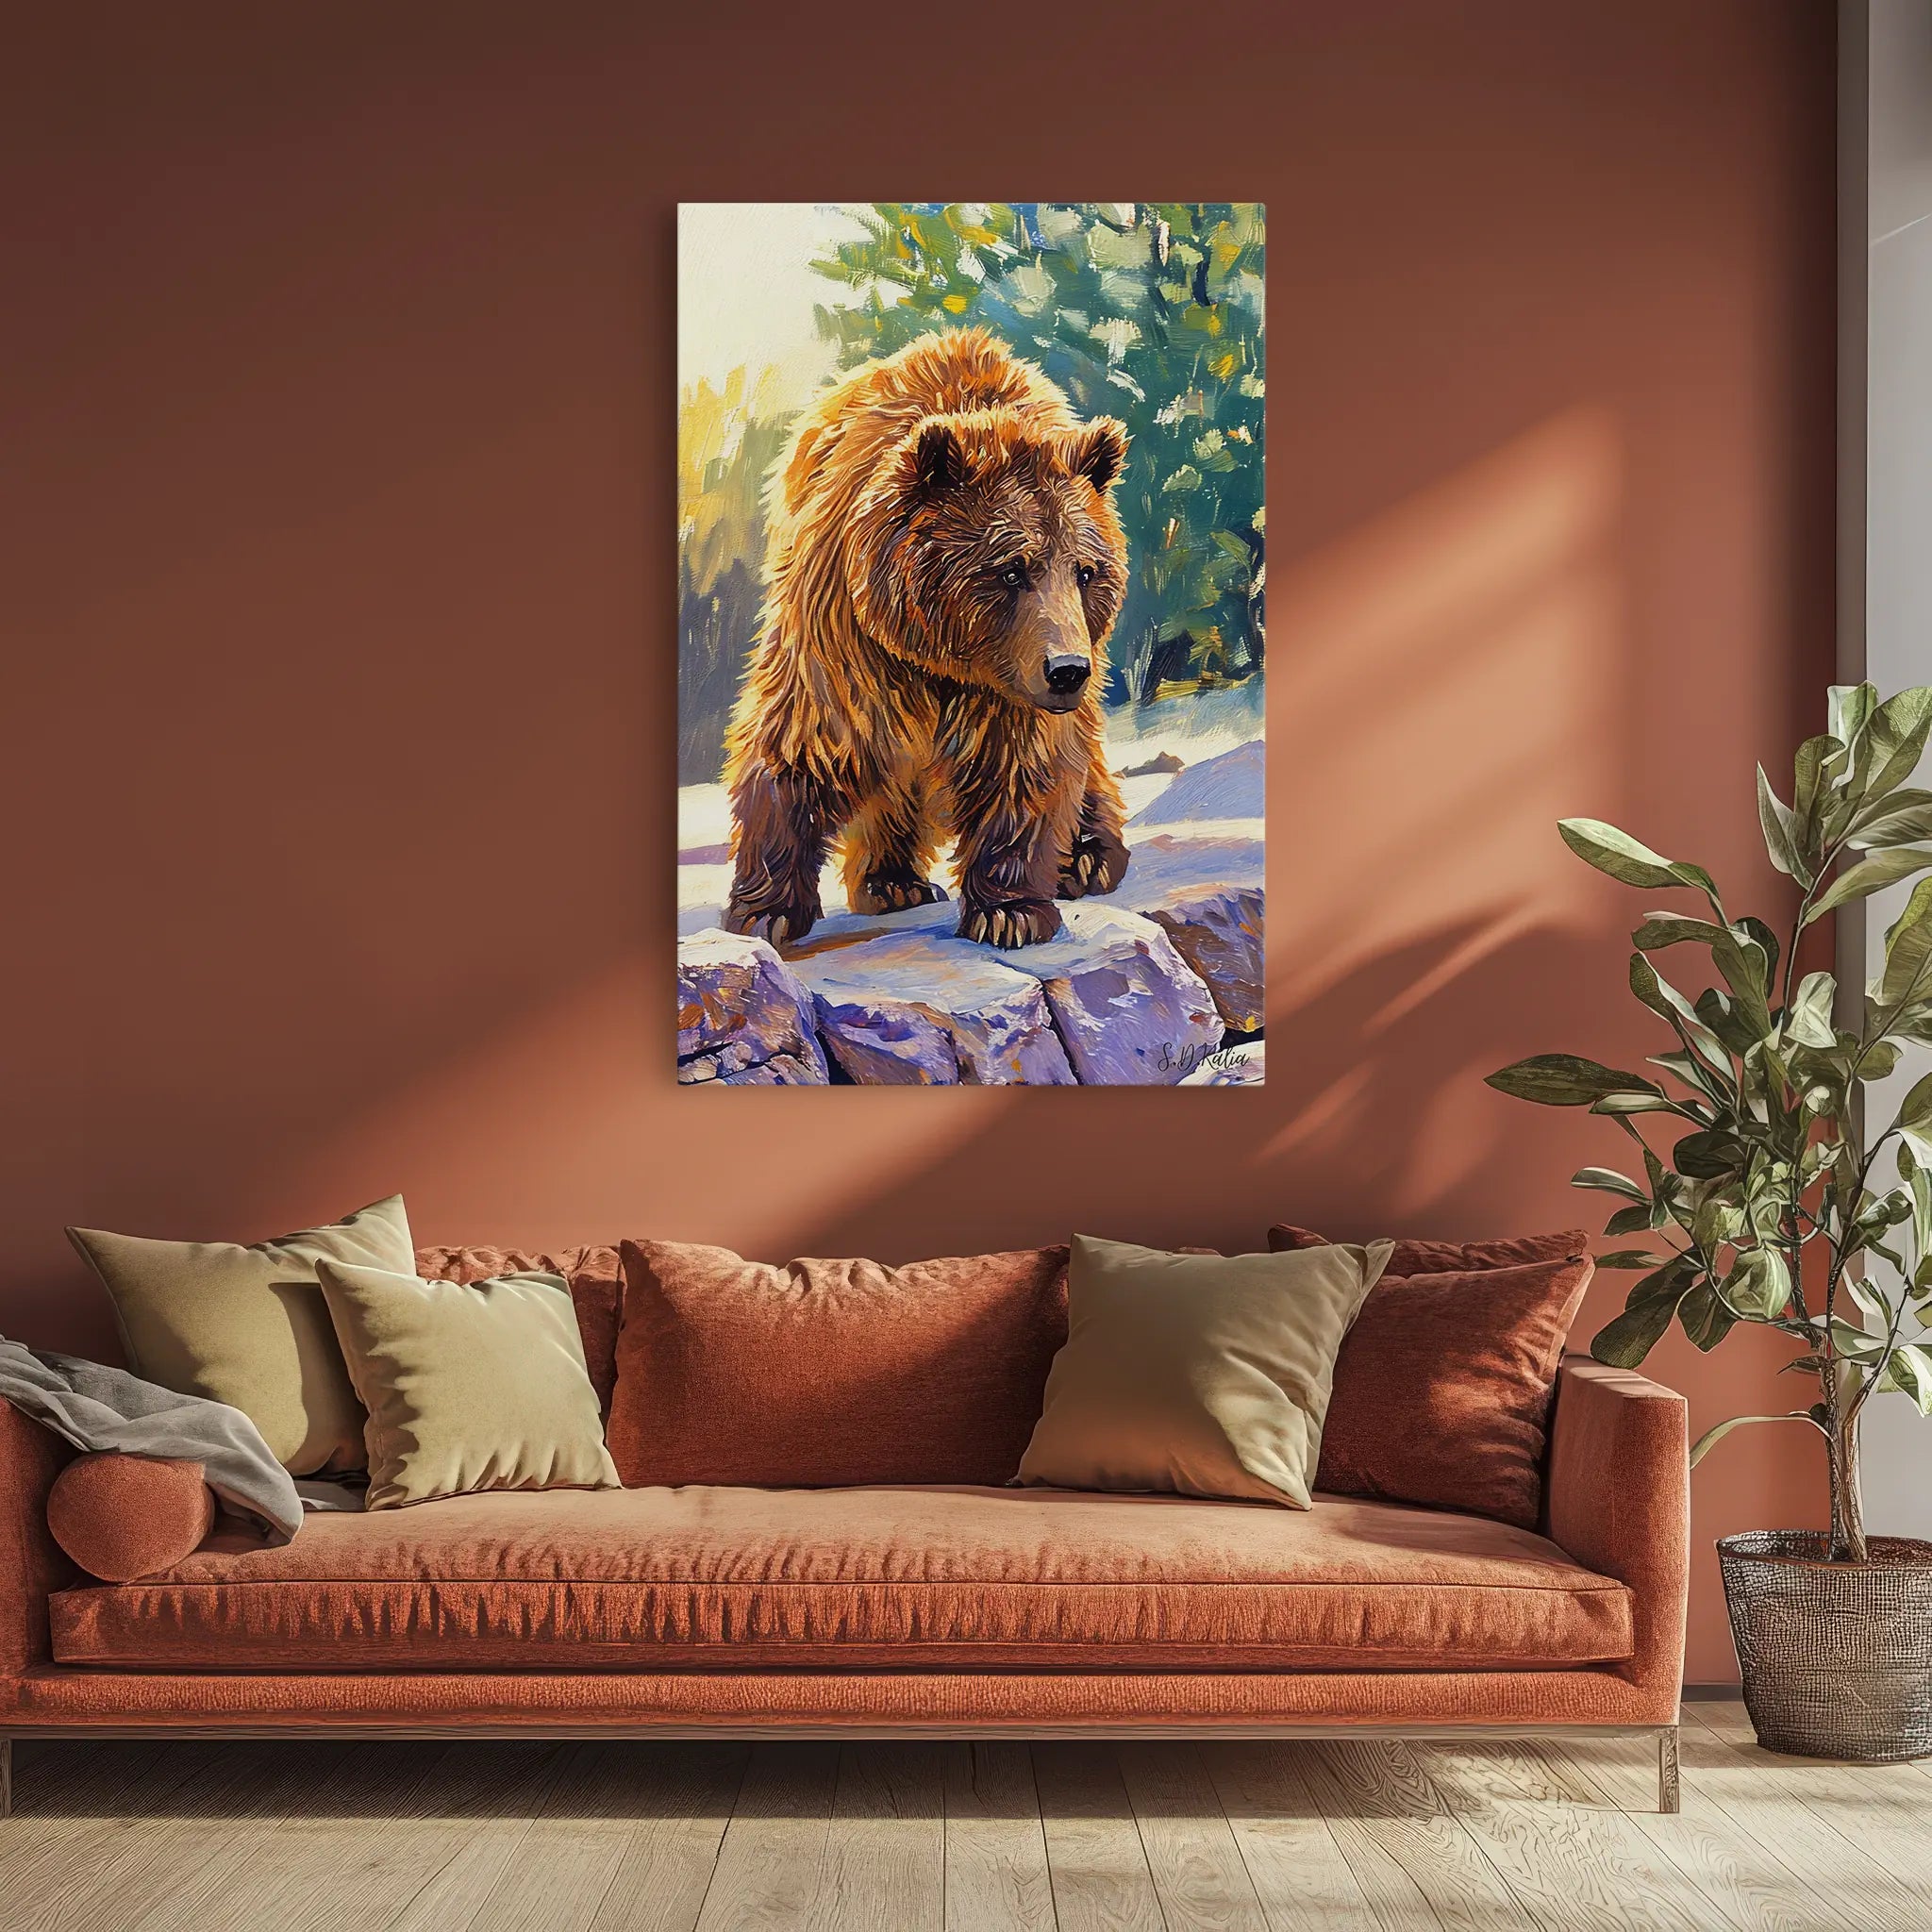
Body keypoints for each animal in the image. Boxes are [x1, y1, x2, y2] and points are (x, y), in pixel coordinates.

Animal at [720, 327, 1132, 950]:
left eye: (1085, 571)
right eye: (1011, 570)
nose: (1067, 670)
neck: (941, 657)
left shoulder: (1011, 683)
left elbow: (1024, 762)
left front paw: (1009, 911)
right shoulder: (844, 638)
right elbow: (803, 742)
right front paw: (765, 910)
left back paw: (1088, 857)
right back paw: (891, 882)